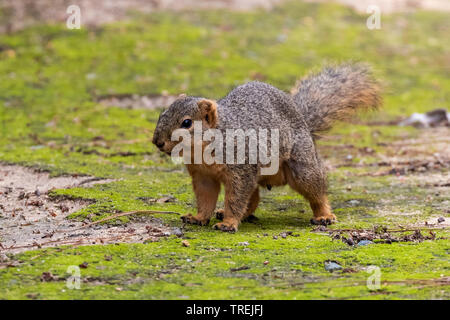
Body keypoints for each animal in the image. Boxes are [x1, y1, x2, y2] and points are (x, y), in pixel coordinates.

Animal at [153, 63, 382, 232]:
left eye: (186, 123)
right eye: (162, 113)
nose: (157, 142)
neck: (201, 152)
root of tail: (304, 122)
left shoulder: (241, 168)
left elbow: (236, 198)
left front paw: (228, 223)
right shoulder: (203, 176)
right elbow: (205, 198)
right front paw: (198, 217)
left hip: (302, 167)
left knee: (316, 190)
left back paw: (324, 216)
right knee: (253, 198)